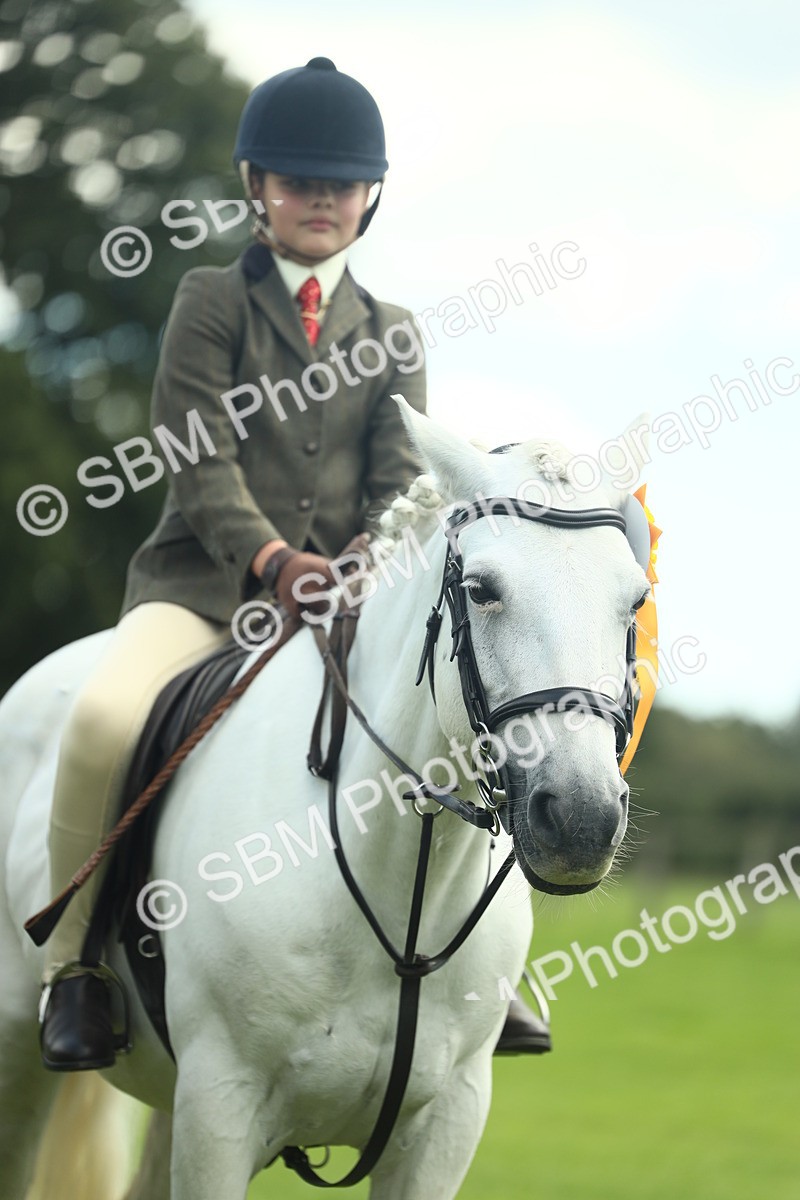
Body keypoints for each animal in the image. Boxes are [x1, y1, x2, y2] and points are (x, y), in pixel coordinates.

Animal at [0, 401, 653, 1200]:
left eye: (635, 599)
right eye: (481, 589)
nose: (582, 821)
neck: (404, 893)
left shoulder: (445, 1127)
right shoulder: (220, 1109)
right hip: (20, 1062)